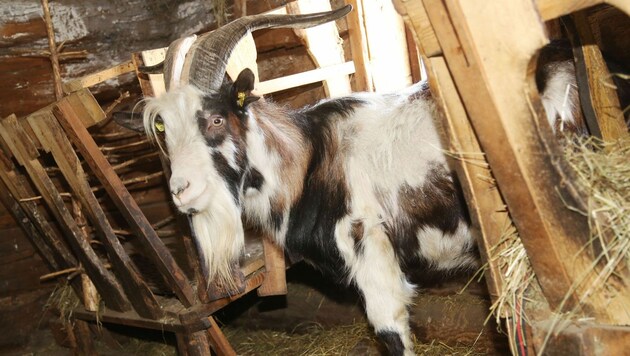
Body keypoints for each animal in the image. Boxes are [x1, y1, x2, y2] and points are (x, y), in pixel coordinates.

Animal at [124, 5, 588, 356]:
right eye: (164, 130)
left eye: (217, 119)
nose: (182, 191)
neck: (310, 160)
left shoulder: (369, 247)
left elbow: (390, 330)